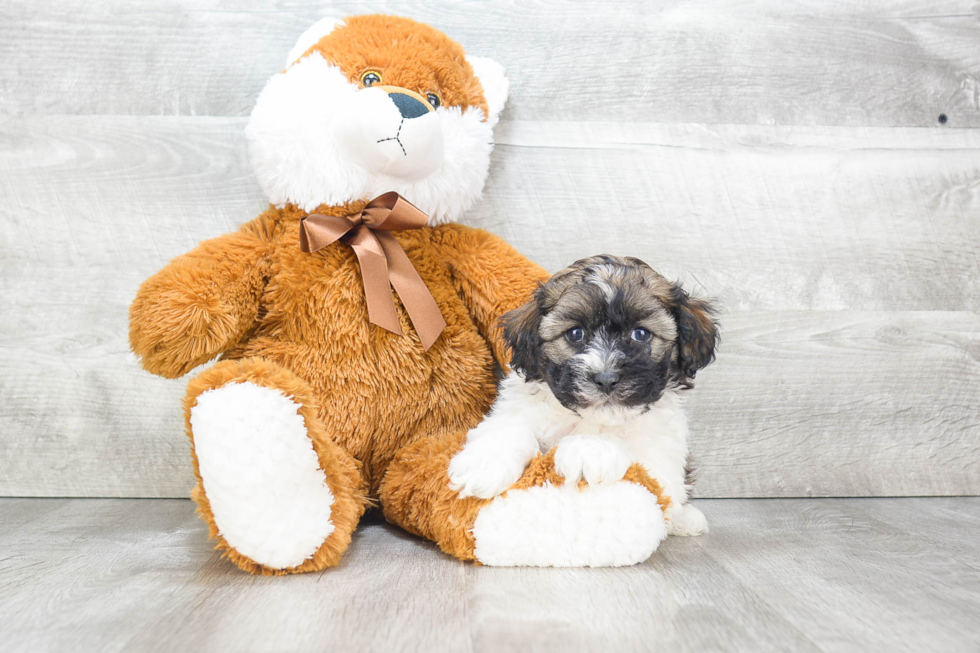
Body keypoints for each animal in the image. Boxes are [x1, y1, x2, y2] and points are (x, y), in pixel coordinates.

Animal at [446, 255, 720, 536]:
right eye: (575, 333)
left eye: (641, 334)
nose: (606, 378)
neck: (591, 420)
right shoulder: (517, 408)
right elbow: (509, 428)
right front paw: (484, 464)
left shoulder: (659, 460)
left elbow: (634, 452)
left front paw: (589, 449)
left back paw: (686, 518)